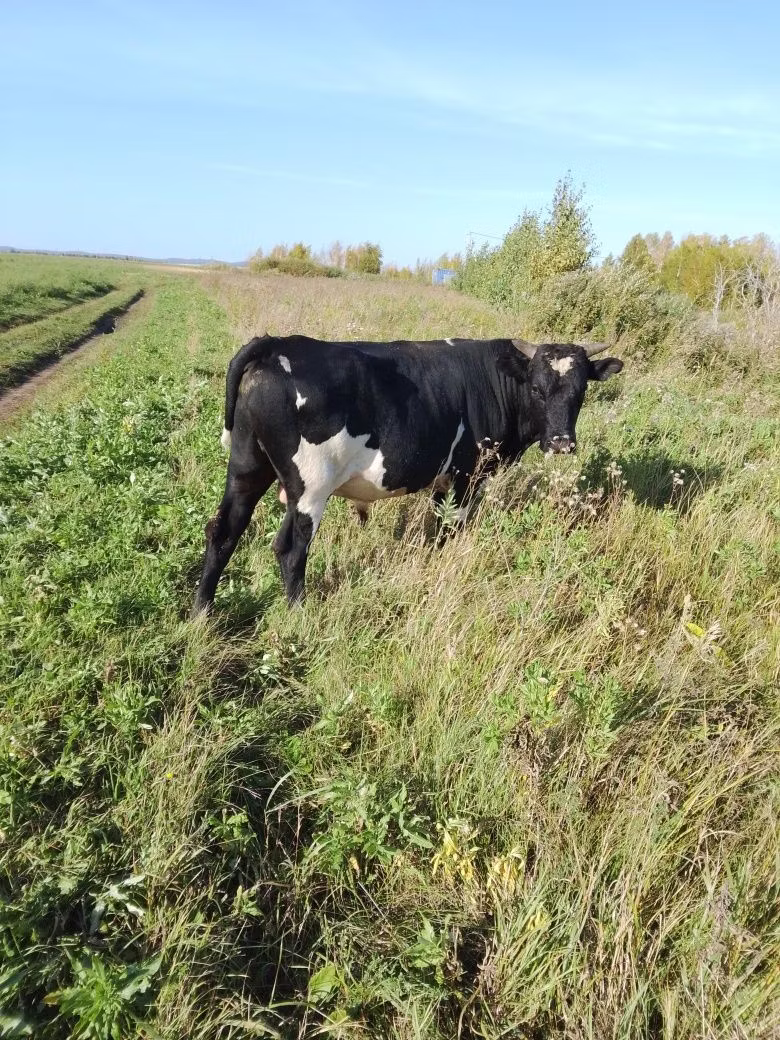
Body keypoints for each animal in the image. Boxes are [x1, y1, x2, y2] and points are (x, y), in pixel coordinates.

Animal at [192, 334, 623, 613]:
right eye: (536, 388)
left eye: (580, 391)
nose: (562, 443)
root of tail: (276, 344)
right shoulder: (466, 476)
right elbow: (452, 529)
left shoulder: (443, 480)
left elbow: (437, 527)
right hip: (311, 485)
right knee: (291, 548)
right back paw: (301, 614)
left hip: (248, 468)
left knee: (223, 532)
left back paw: (202, 614)